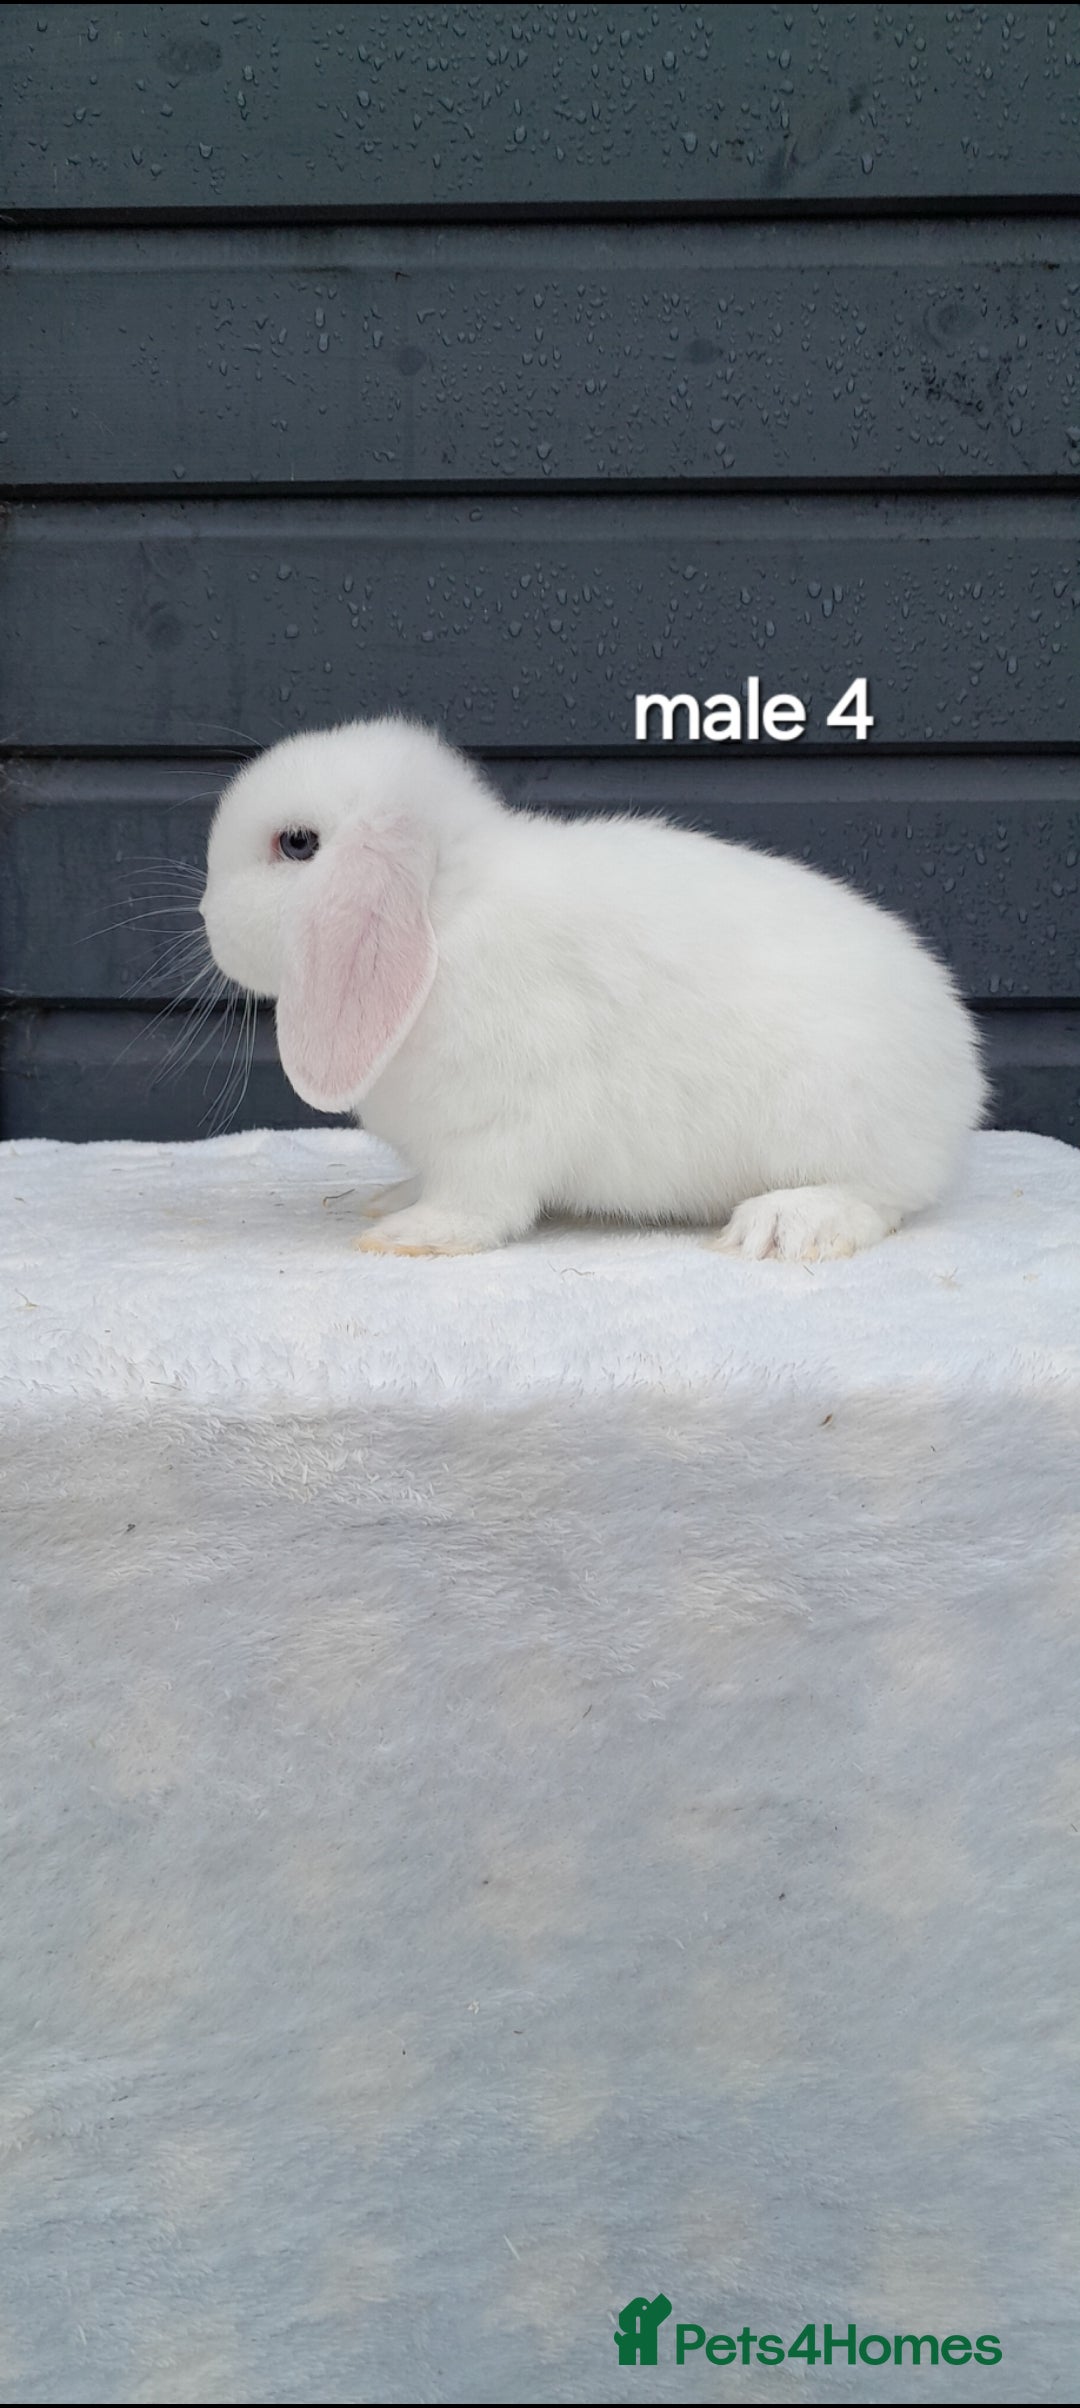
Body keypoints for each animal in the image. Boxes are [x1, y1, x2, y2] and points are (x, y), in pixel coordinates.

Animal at [200, 716, 986, 1260]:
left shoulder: (499, 1126)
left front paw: (410, 1235)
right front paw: (389, 1200)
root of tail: (962, 1073)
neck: (443, 918)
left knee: (881, 1197)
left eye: (296, 844)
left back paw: (782, 1224)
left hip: (842, 1121)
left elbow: (479, 1201)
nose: (207, 919)